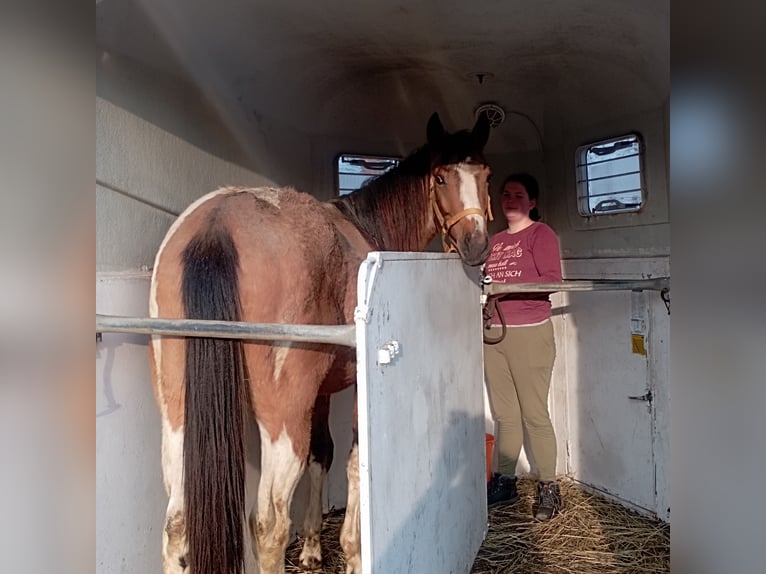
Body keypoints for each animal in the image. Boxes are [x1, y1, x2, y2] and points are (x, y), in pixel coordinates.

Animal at [149, 110, 496, 572]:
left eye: (486, 174)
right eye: (440, 177)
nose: (476, 244)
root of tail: (217, 224)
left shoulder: (321, 394)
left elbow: (323, 454)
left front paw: (313, 547)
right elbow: (351, 464)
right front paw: (352, 553)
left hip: (178, 414)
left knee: (177, 523)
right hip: (281, 420)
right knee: (270, 524)